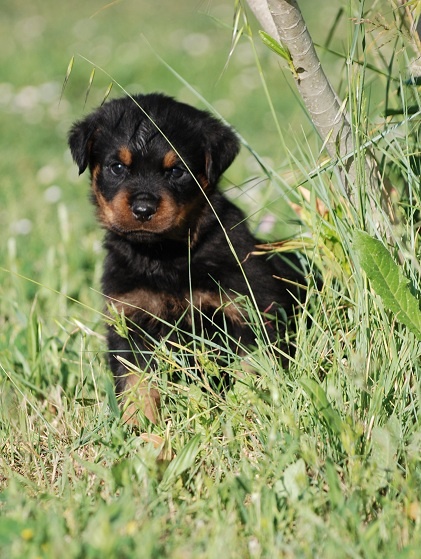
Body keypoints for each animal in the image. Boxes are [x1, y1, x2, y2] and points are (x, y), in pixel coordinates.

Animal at [68, 93, 305, 425]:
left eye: (176, 171)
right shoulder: (130, 320)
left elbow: (251, 372)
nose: (143, 209)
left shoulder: (249, 311)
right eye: (117, 167)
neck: (165, 255)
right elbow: (137, 384)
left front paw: (250, 416)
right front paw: (138, 427)